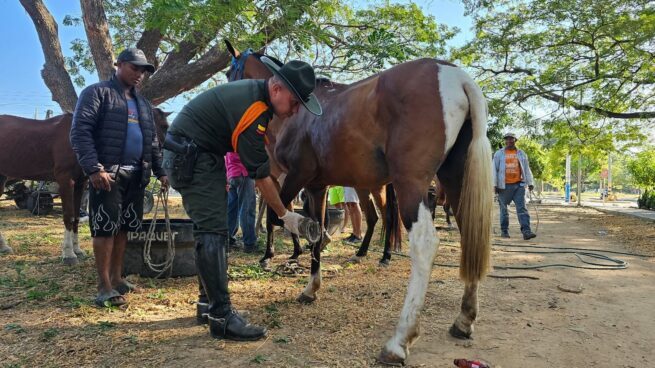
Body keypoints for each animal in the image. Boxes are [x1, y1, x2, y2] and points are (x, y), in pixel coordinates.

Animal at [0, 109, 172, 262]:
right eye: (164, 126)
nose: (161, 158)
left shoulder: (80, 183)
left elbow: (76, 216)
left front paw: (77, 250)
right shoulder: (66, 181)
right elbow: (68, 216)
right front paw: (68, 254)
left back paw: (4, 247)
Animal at [229, 41, 492, 364]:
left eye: (230, 72)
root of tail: (455, 76)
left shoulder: (294, 177)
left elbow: (278, 218)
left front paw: (275, 257)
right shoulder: (317, 187)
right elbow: (314, 229)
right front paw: (311, 287)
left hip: (410, 184)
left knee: (423, 244)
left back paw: (399, 340)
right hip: (454, 180)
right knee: (469, 232)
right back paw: (463, 320)